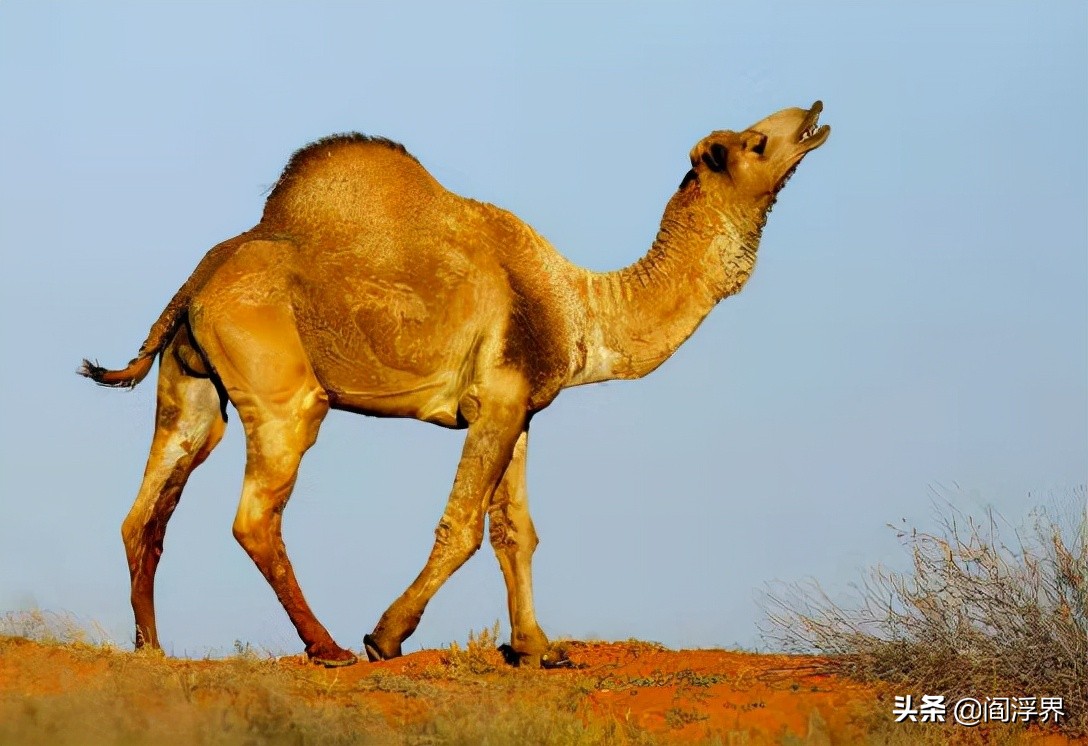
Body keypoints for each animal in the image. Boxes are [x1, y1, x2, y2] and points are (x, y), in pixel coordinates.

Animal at [82, 100, 831, 674]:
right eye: (754, 142)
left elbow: (516, 532)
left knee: (145, 513)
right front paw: (386, 636)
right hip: (282, 394)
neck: (580, 306)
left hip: (190, 389)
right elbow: (462, 527)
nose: (814, 113)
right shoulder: (497, 399)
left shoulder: (518, 408)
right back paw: (329, 648)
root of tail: (198, 282)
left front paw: (538, 649)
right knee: (255, 517)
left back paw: (151, 649)